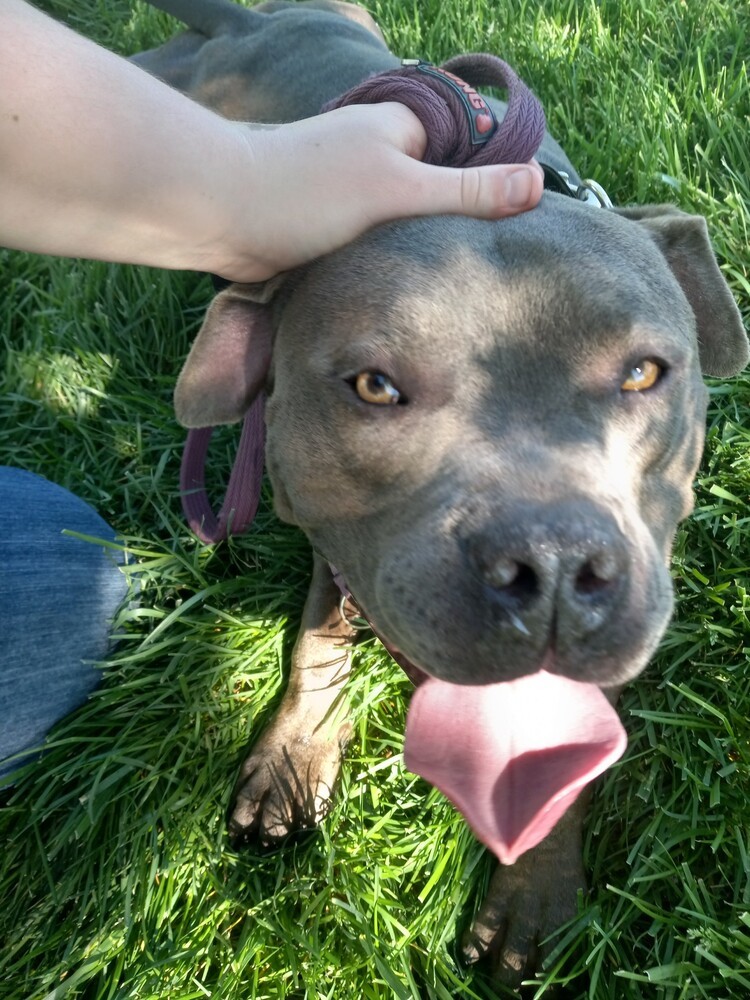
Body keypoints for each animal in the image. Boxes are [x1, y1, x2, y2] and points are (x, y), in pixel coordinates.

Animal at [132, 0, 748, 984]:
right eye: (374, 386)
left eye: (645, 372)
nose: (553, 562)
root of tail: (254, 19)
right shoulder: (329, 537)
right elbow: (317, 642)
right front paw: (293, 753)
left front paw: (534, 887)